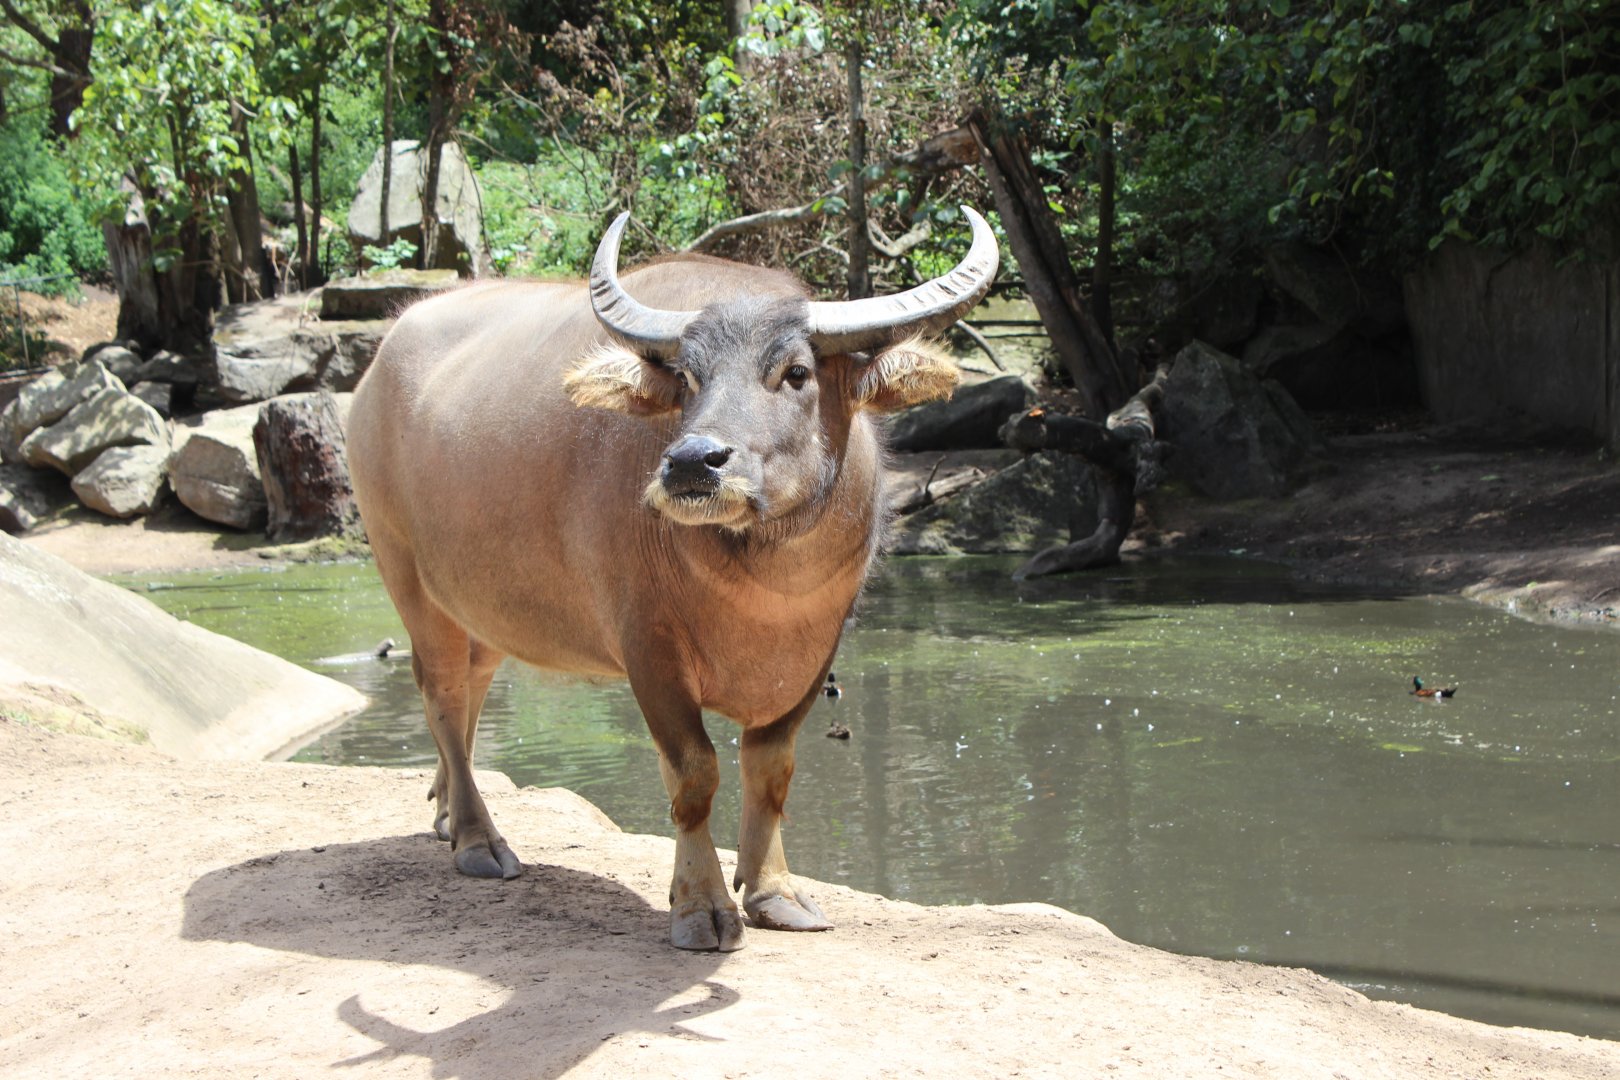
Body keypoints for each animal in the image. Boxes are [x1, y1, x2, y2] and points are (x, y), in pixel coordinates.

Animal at [346, 208, 998, 950]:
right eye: (687, 377)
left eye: (796, 371)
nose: (692, 462)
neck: (765, 587)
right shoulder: (648, 650)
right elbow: (694, 775)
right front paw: (700, 906)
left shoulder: (819, 652)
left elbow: (772, 771)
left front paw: (774, 893)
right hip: (405, 574)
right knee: (444, 696)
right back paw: (479, 841)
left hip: (478, 607)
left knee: (471, 690)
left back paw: (448, 813)